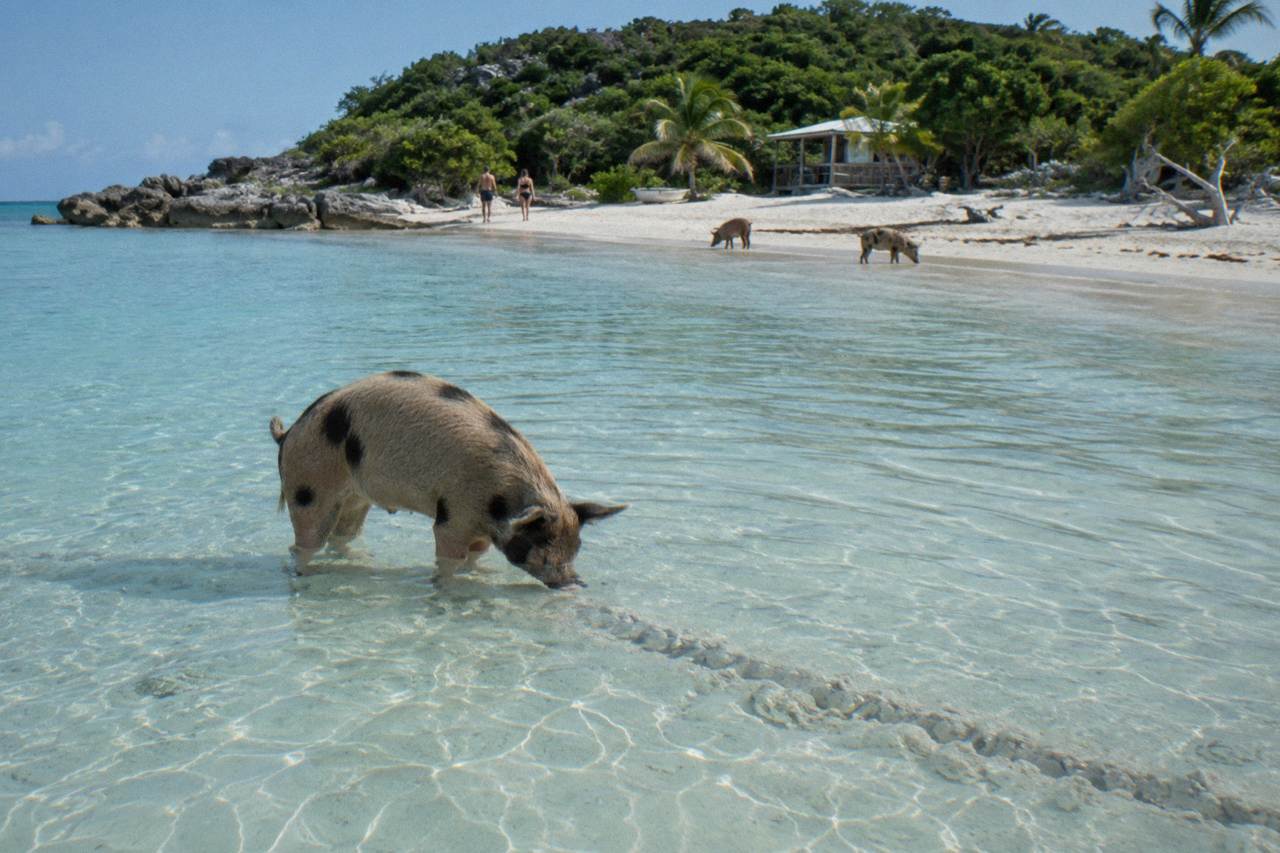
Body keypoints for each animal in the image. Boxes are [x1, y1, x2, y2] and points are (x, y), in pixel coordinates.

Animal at [269, 371, 626, 589]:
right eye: (544, 546)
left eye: (577, 547)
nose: (574, 582)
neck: (498, 501)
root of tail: (287, 434)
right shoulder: (453, 514)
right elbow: (449, 558)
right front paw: (448, 587)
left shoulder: (479, 528)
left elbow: (476, 555)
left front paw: (480, 574)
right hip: (309, 489)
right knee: (302, 544)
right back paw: (307, 577)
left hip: (355, 499)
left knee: (342, 536)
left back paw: (356, 564)